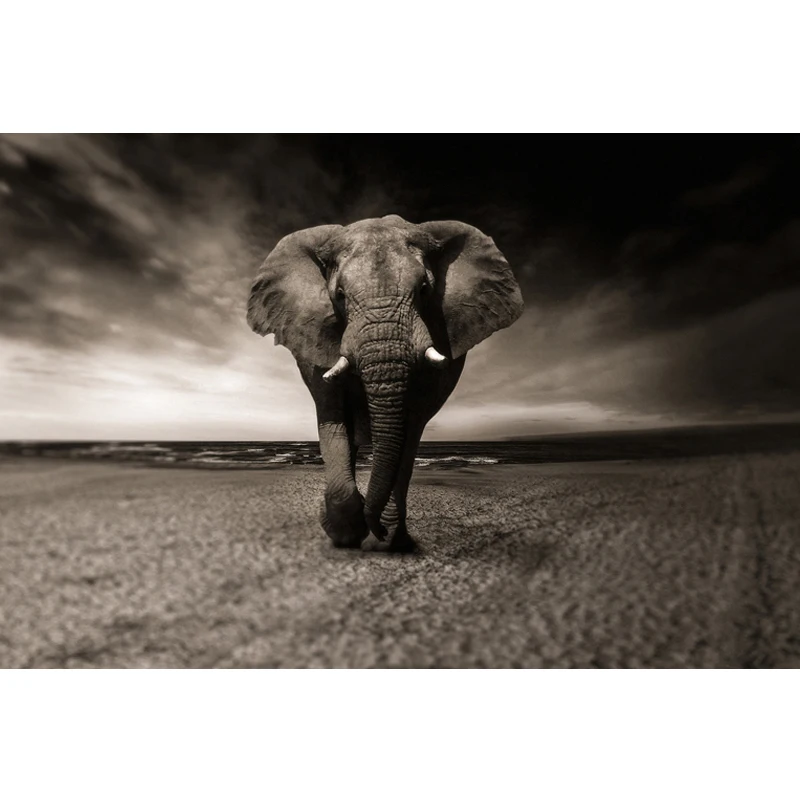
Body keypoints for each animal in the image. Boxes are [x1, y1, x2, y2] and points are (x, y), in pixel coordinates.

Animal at [247, 214, 523, 552]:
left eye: (424, 290)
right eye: (339, 295)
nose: (375, 528)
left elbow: (410, 427)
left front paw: (386, 536)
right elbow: (333, 416)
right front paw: (346, 534)